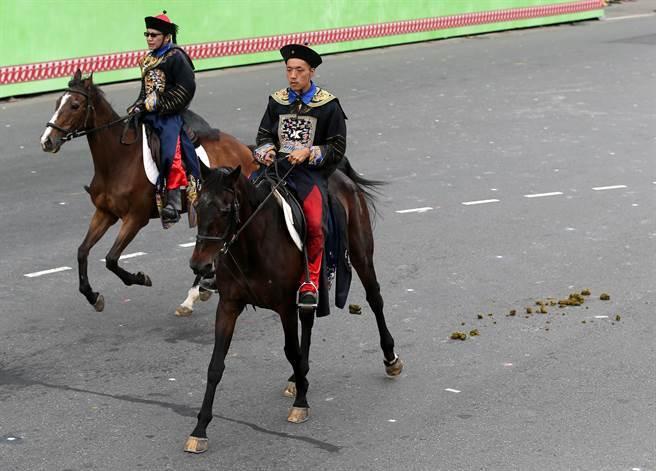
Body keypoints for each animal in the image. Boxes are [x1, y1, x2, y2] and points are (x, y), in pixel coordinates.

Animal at [39, 71, 262, 314]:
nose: (47, 141)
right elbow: (82, 252)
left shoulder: (136, 218)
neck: (119, 160)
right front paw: (92, 295)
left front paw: (139, 278)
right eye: (57, 103)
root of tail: (244, 150)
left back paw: (198, 290)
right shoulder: (105, 213)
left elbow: (111, 258)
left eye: (75, 105)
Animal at [182, 165, 402, 454]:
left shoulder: (284, 306)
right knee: (308, 320)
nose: (200, 266)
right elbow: (216, 365)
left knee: (374, 299)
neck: (253, 245)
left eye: (225, 209)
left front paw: (301, 402)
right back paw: (299, 376)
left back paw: (391, 359)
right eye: (197, 205)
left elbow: (291, 350)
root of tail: (338, 174)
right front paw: (200, 429)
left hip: (360, 252)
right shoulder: (228, 305)